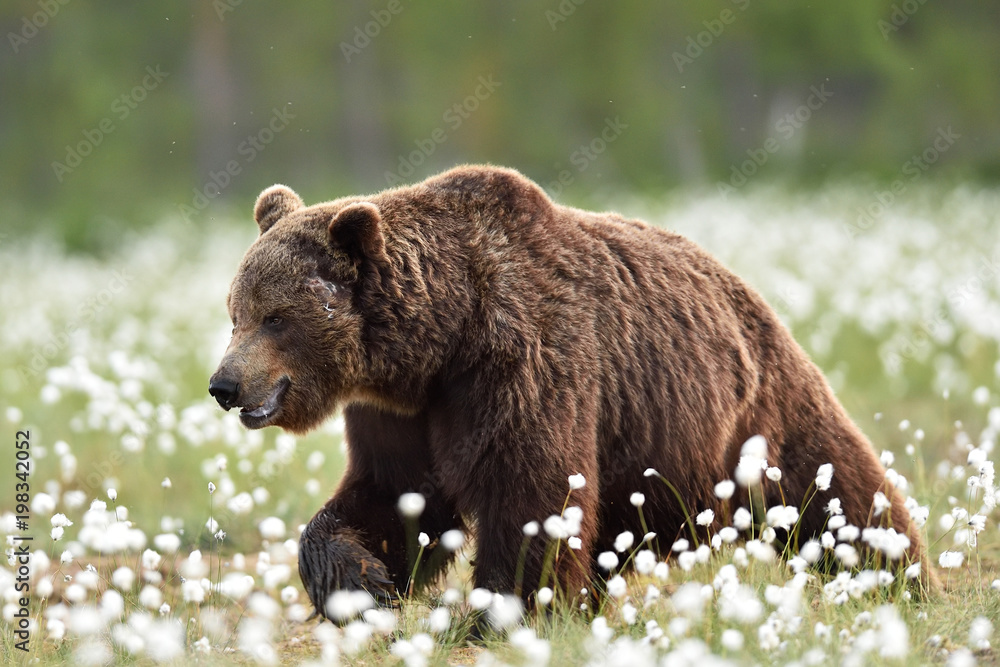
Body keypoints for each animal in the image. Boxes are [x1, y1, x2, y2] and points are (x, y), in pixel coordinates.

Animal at [209, 164, 928, 620]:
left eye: (277, 316)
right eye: (235, 311)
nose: (223, 383)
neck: (438, 344)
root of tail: (739, 285)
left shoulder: (519, 364)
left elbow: (530, 493)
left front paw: (496, 615)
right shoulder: (399, 414)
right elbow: (391, 497)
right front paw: (363, 580)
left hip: (754, 414)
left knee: (834, 491)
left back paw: (902, 577)